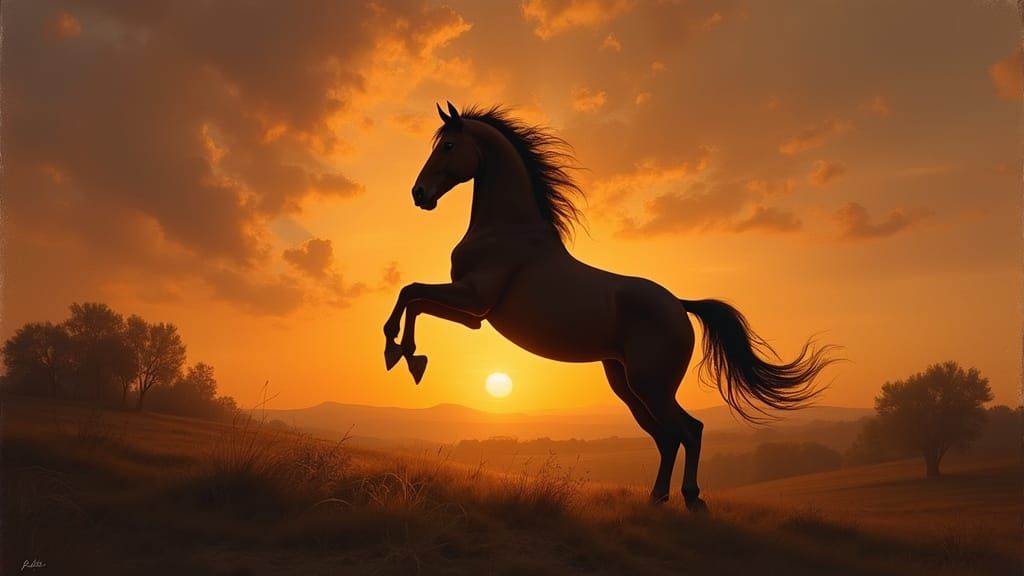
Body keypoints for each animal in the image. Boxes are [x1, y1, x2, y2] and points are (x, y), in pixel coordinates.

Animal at [384, 102, 839, 511]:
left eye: (448, 146)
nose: (418, 194)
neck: (506, 230)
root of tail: (679, 306)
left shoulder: (474, 298)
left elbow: (410, 291)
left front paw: (398, 352)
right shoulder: (474, 316)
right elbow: (415, 298)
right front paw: (411, 358)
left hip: (651, 384)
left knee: (689, 430)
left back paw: (692, 499)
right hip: (627, 385)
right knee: (667, 437)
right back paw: (657, 498)